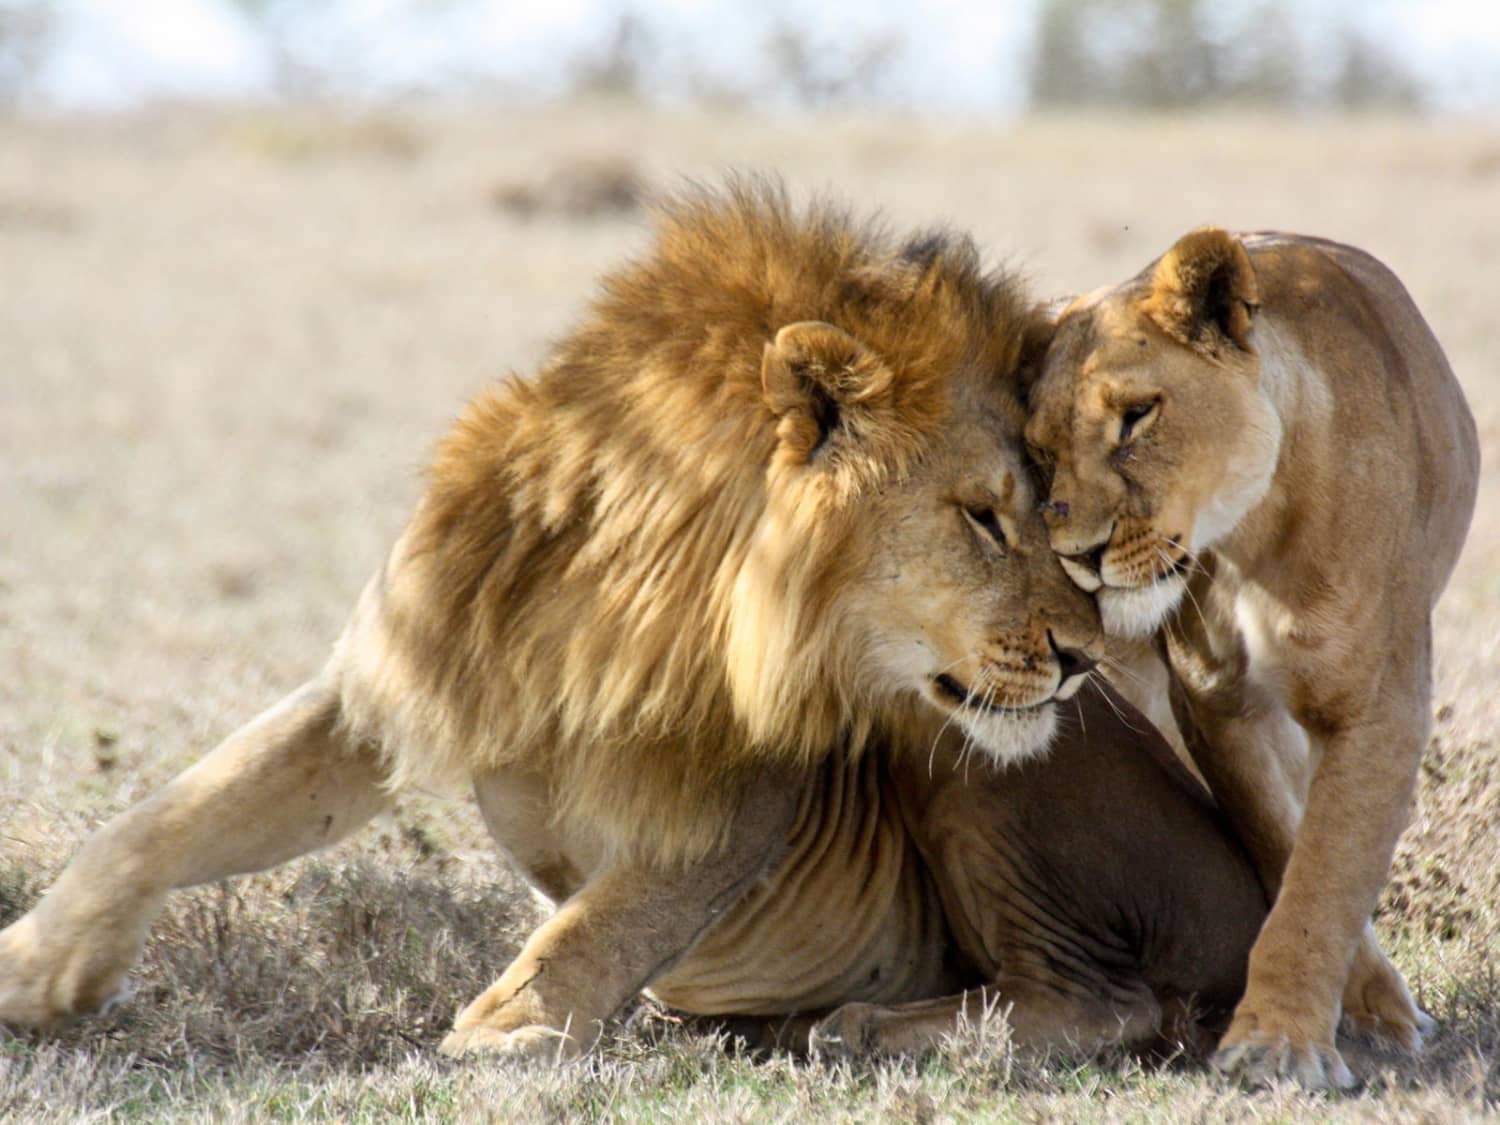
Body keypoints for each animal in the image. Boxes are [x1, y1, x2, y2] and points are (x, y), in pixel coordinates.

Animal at [0, 189, 1266, 1062]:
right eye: (987, 519)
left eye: (1043, 508)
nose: (1086, 657)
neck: (620, 599)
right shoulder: (392, 677)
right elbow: (173, 814)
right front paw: (41, 969)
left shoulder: (746, 794)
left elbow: (601, 921)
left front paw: (507, 1030)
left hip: (968, 765)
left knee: (1110, 999)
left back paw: (869, 1026)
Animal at [1026, 231, 1482, 1092]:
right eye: (1040, 451)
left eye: (1137, 415)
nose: (1077, 557)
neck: (1250, 536)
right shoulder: (1215, 702)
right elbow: (1287, 845)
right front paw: (1337, 1013)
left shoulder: (1378, 707)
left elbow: (1324, 873)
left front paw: (1281, 1044)